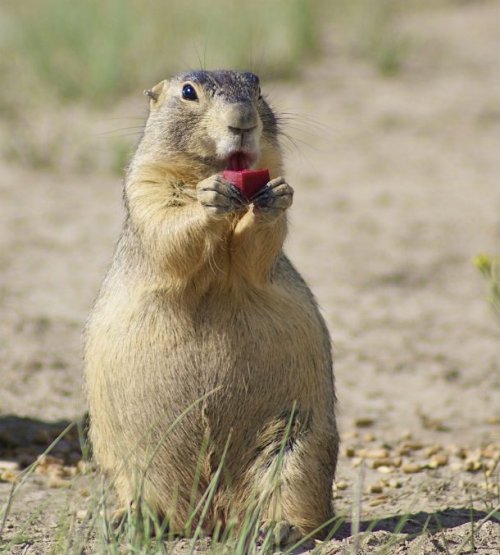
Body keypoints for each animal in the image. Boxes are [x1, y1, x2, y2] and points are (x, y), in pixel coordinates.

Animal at [83, 69, 340, 544]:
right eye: (188, 92)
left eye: (258, 88)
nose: (242, 119)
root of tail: (208, 519)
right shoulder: (145, 184)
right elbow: (166, 225)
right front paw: (209, 197)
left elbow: (257, 250)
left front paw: (275, 198)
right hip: (125, 456)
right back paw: (134, 520)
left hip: (300, 445)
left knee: (299, 500)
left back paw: (275, 529)